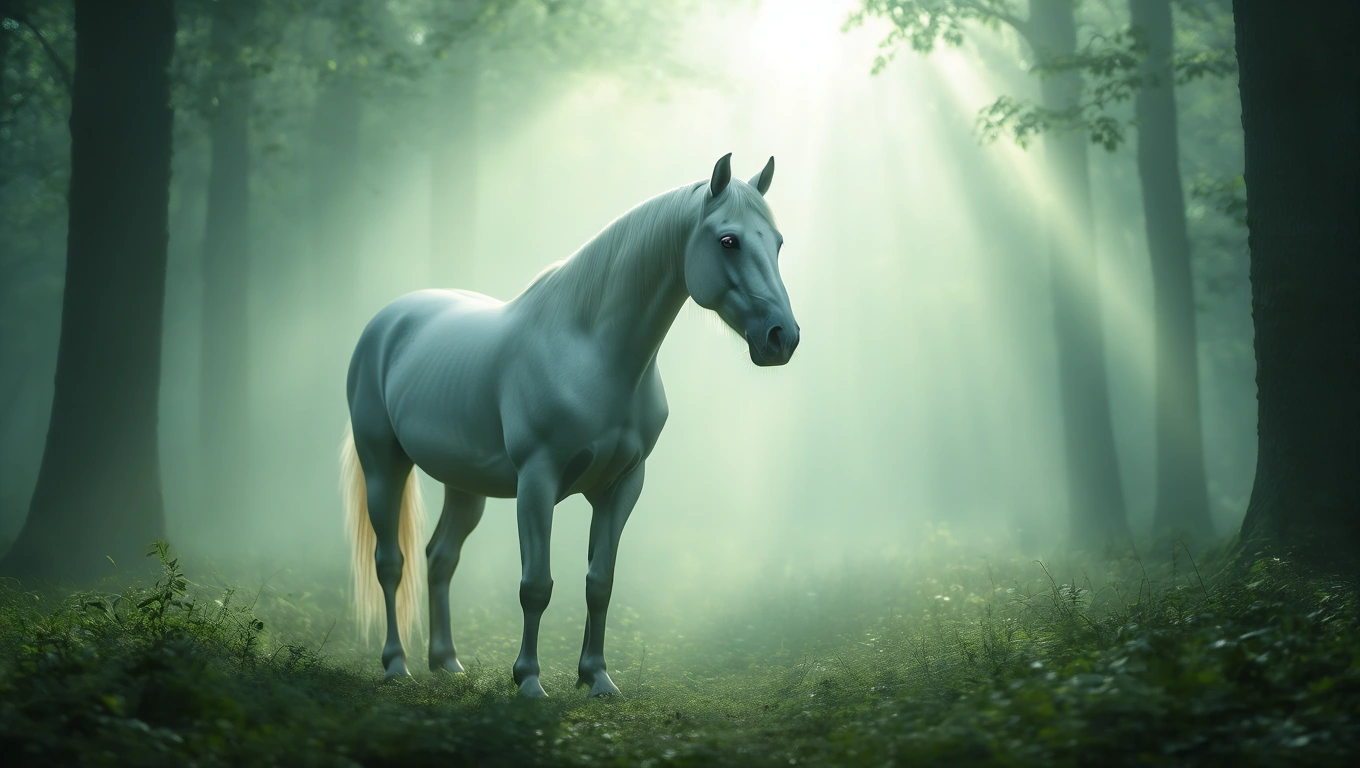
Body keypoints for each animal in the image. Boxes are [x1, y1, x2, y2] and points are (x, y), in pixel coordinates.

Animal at [340, 153, 799, 698]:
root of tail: (387, 322)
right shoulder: (537, 482)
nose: (782, 337)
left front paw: (597, 678)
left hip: (465, 484)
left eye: (777, 242)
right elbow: (536, 585)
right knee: (391, 563)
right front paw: (529, 682)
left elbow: (600, 582)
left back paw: (447, 662)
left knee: (440, 558)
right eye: (728, 240)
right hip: (383, 465)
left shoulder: (623, 485)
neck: (592, 352)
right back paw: (396, 665)